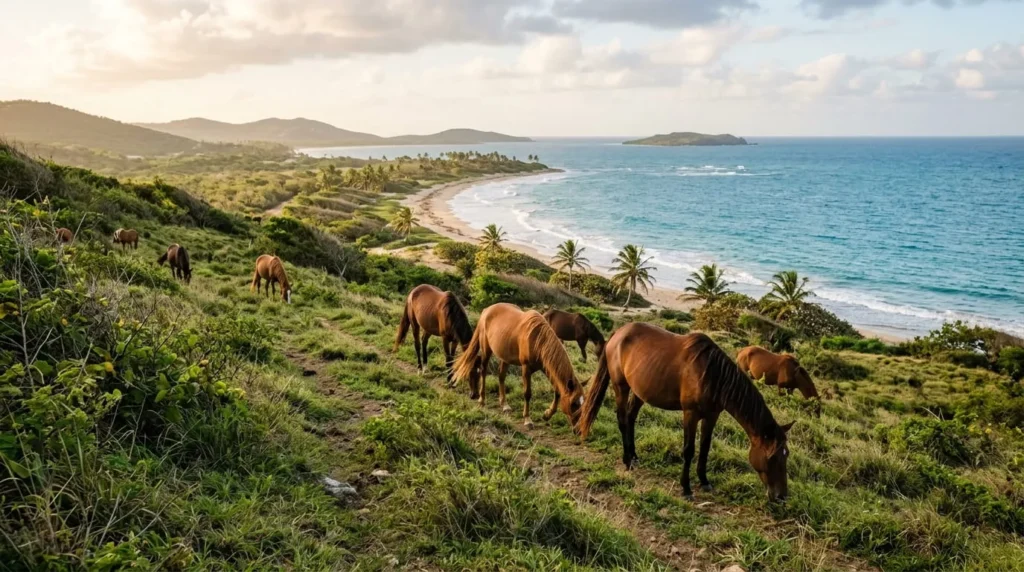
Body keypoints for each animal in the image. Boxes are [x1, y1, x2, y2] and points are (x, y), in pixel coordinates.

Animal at [452, 303, 583, 428]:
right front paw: (527, 419)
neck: (538, 339)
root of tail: (486, 310)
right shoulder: (526, 368)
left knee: (501, 376)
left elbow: (557, 391)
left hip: (504, 356)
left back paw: (505, 405)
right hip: (486, 350)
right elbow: (527, 393)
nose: (578, 429)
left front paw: (547, 414)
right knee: (483, 371)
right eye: (574, 404)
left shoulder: (546, 368)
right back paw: (482, 400)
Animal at [576, 323, 794, 502]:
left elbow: (705, 448)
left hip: (639, 391)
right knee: (622, 420)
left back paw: (634, 455)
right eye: (773, 457)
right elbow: (689, 450)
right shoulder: (690, 414)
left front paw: (704, 480)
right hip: (621, 386)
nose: (782, 496)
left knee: (630, 418)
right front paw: (686, 488)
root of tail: (619, 333)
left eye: (787, 455)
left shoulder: (711, 416)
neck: (713, 376)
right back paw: (627, 460)